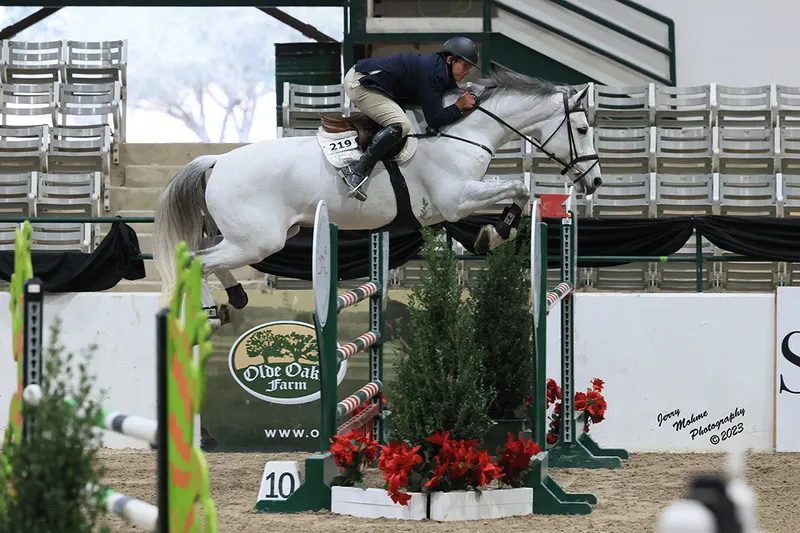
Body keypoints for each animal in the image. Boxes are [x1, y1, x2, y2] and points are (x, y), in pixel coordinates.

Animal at [153, 66, 600, 326]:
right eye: (581, 130)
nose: (594, 181)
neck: (463, 131)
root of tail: (217, 161)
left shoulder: (450, 204)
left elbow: (508, 198)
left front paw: (487, 236)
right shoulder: (456, 198)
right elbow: (519, 189)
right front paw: (495, 234)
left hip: (246, 236)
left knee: (202, 253)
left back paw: (234, 296)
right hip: (258, 241)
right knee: (197, 260)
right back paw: (208, 310)